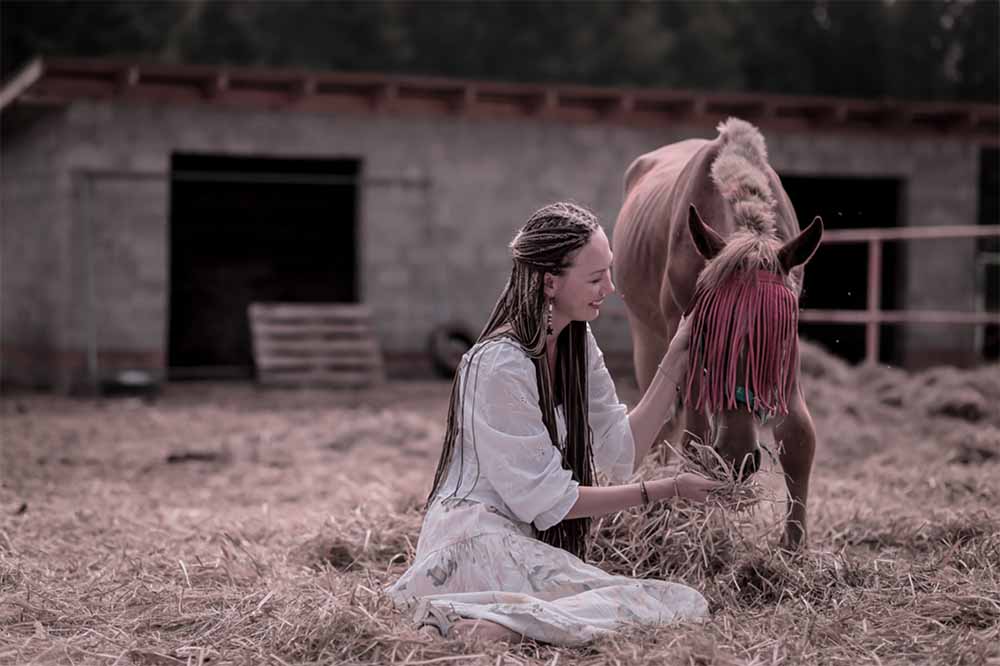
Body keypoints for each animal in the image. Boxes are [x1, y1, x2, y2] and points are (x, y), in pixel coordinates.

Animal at [612, 116, 824, 548]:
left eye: (776, 338)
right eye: (708, 333)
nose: (736, 457)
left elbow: (799, 436)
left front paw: (795, 546)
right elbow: (693, 440)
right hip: (646, 334)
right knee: (663, 425)